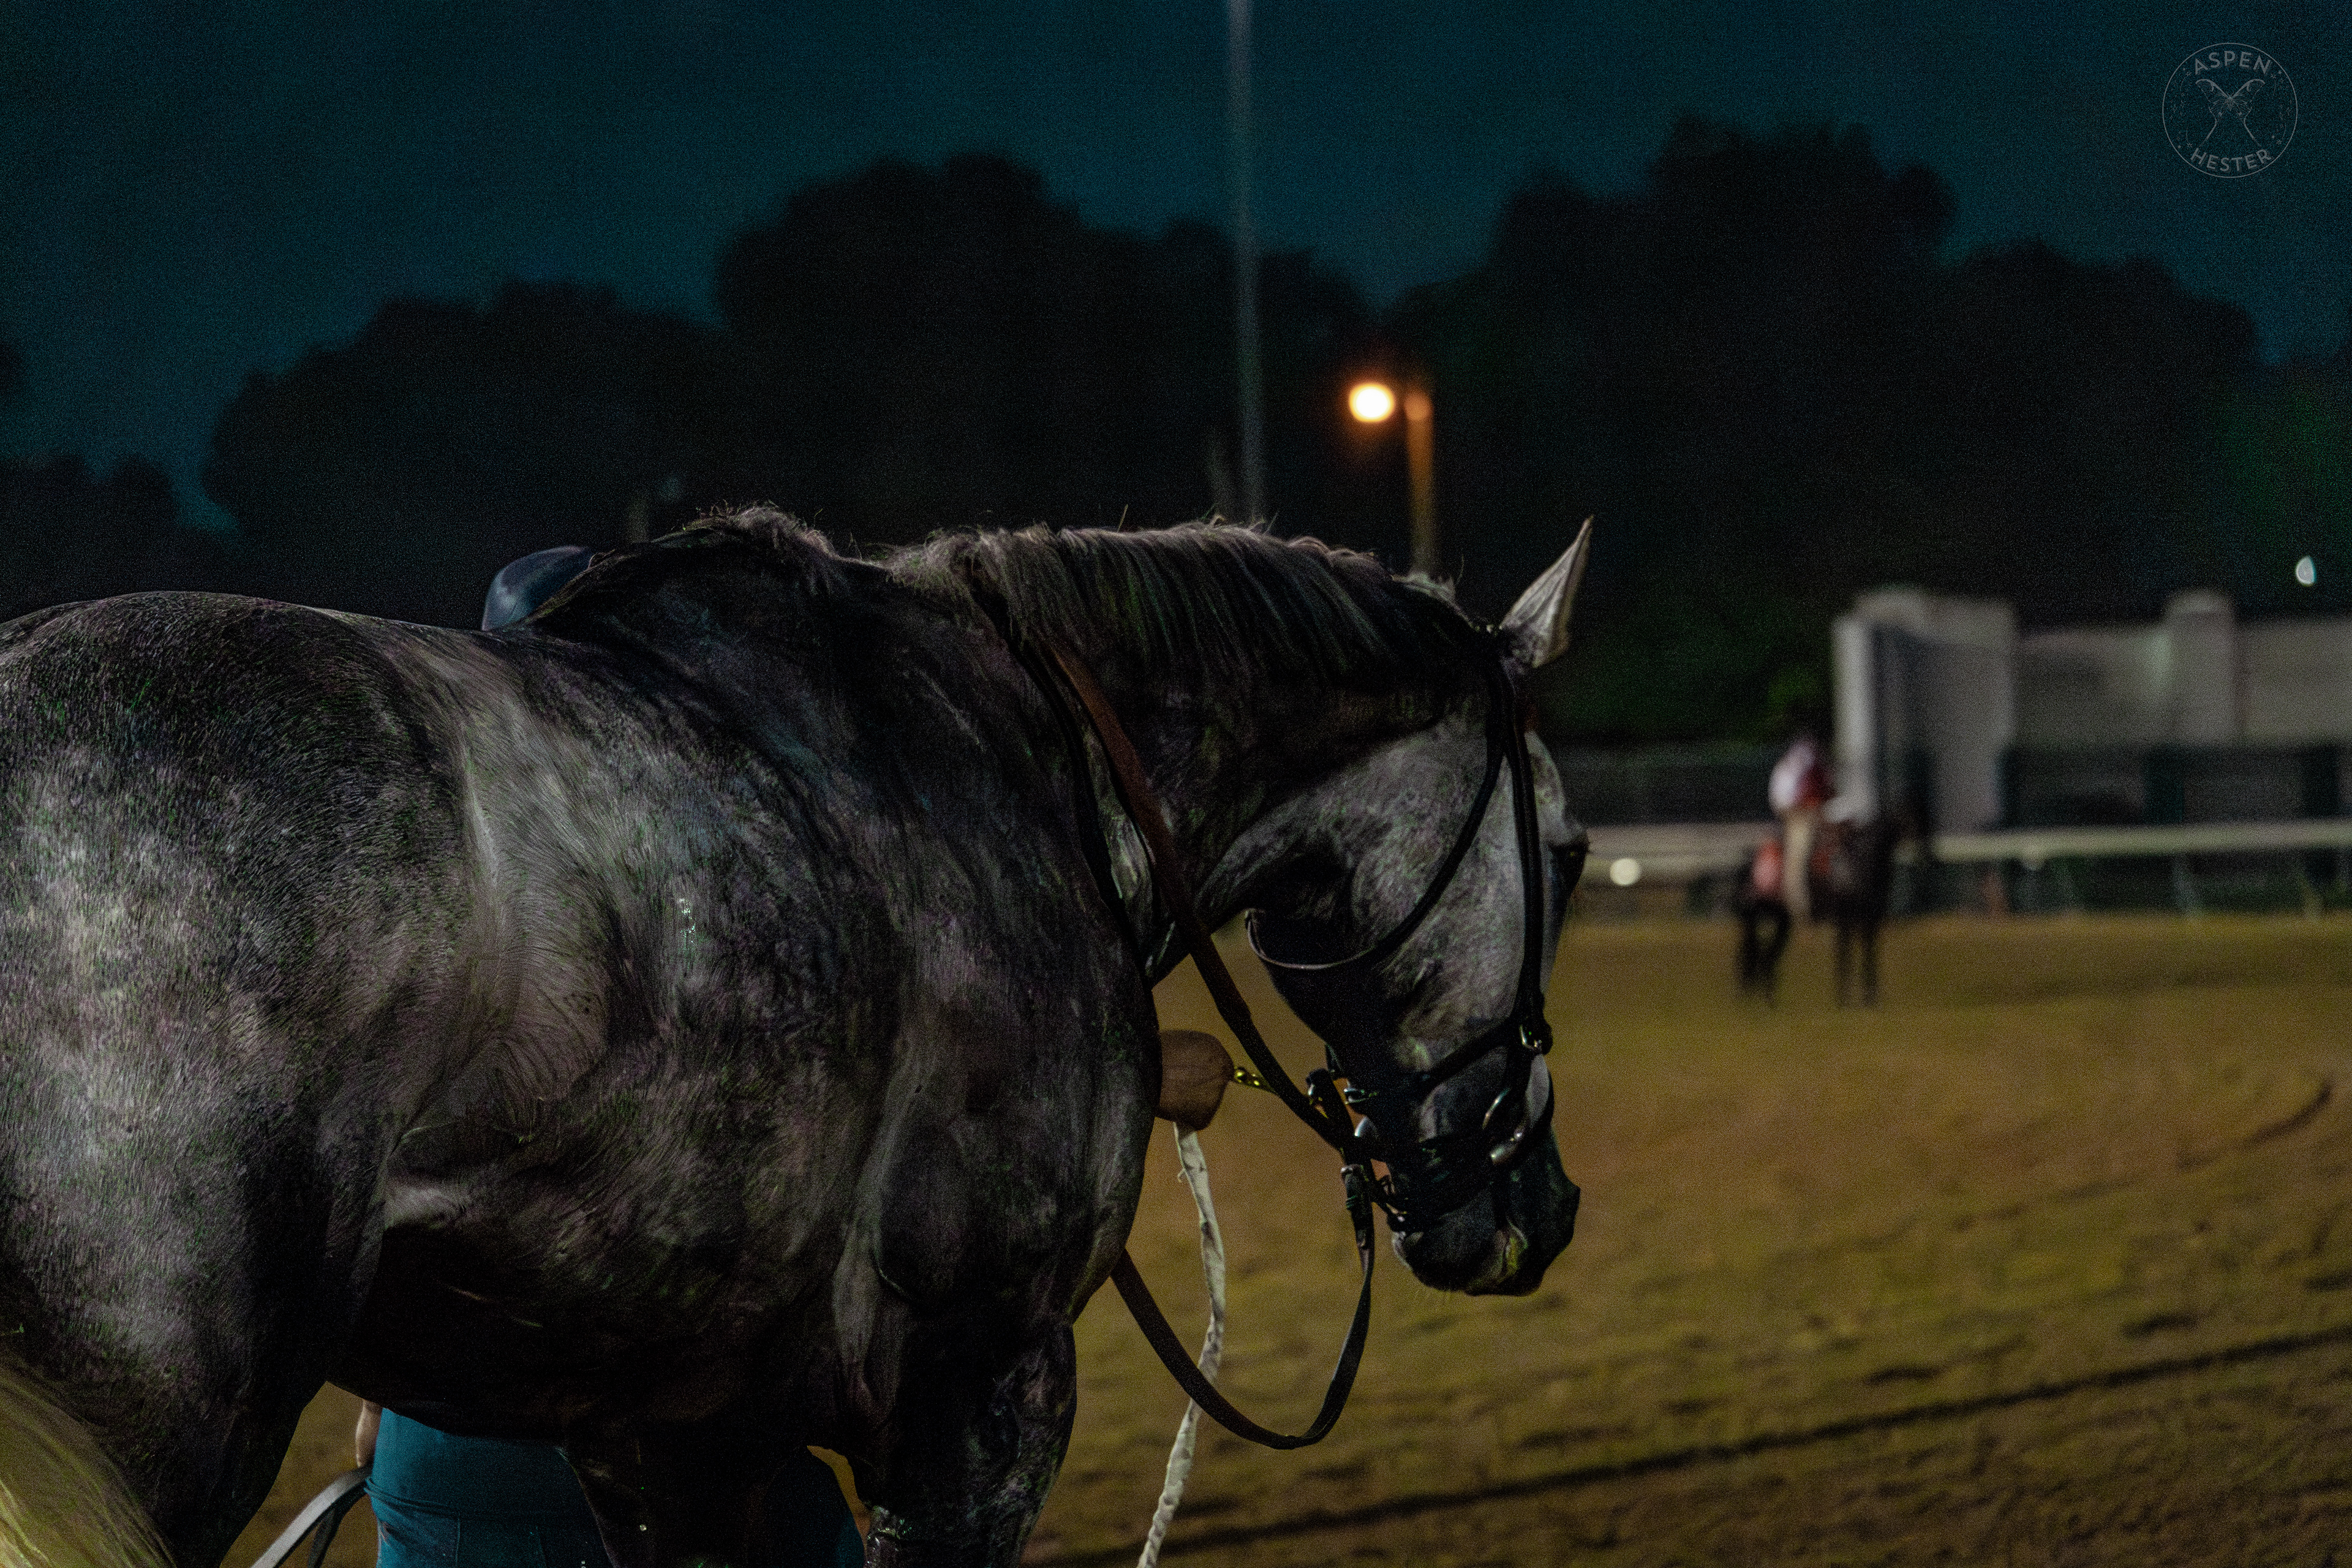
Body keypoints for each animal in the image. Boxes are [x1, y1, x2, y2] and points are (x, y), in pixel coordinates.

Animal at [1736, 812, 1912, 1005]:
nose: (1910, 831)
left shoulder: (1871, 918)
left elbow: (1869, 952)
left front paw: (1869, 998)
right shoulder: (1844, 918)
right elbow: (1845, 954)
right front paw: (1844, 998)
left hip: (1781, 920)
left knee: (1763, 958)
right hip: (1758, 920)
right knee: (1756, 956)